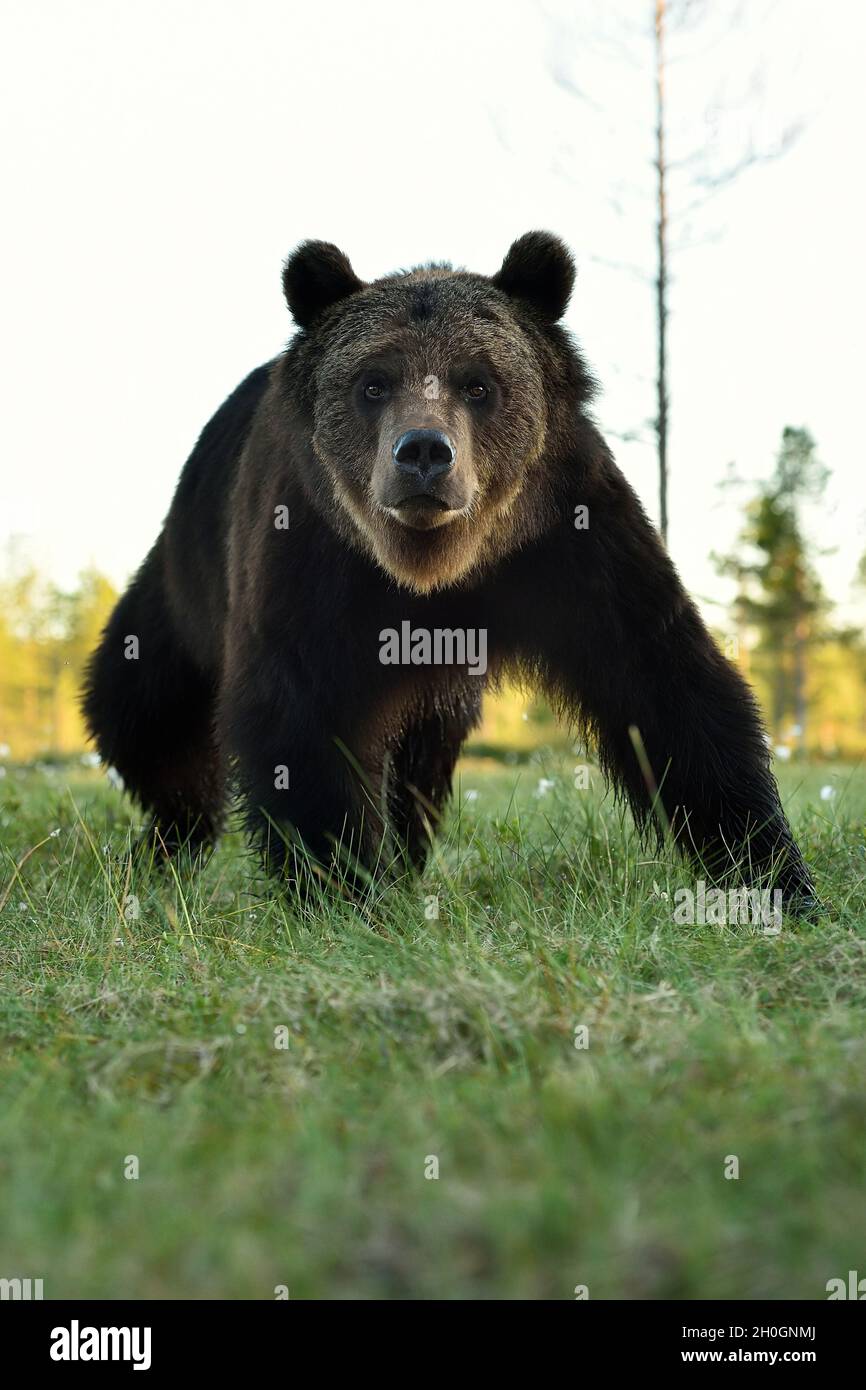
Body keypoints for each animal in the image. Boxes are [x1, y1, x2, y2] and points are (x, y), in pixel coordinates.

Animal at [83, 231, 816, 912]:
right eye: (373, 382)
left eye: (478, 383)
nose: (424, 453)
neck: (434, 569)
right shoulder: (311, 555)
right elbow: (300, 712)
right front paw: (343, 889)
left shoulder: (568, 539)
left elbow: (667, 685)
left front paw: (774, 872)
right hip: (183, 585)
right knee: (139, 710)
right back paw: (168, 840)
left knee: (419, 764)